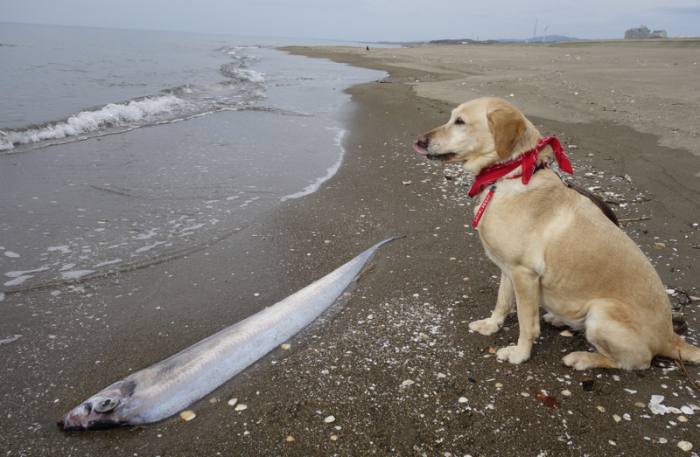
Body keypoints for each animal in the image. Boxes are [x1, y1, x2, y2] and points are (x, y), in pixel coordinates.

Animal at [412, 97, 696, 370]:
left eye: (460, 121)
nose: (419, 140)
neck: (508, 174)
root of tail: (671, 337)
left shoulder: (524, 274)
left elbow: (526, 323)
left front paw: (519, 354)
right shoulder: (508, 269)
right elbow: (502, 302)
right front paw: (491, 326)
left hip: (601, 312)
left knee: (635, 362)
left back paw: (583, 358)